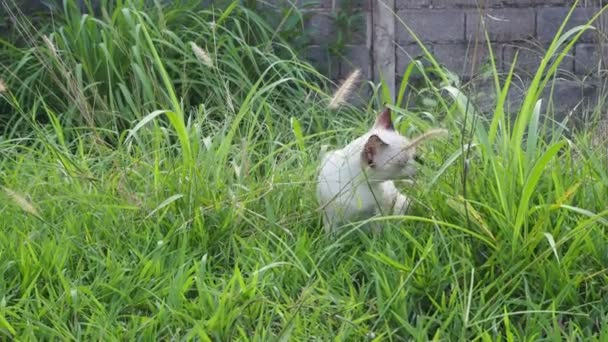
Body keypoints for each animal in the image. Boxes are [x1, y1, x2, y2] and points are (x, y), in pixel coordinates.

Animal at [318, 108, 446, 234]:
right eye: (403, 163)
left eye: (414, 155)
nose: (421, 163)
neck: (358, 186)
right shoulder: (330, 219)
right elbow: (331, 238)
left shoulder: (377, 212)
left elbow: (377, 235)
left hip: (401, 203)